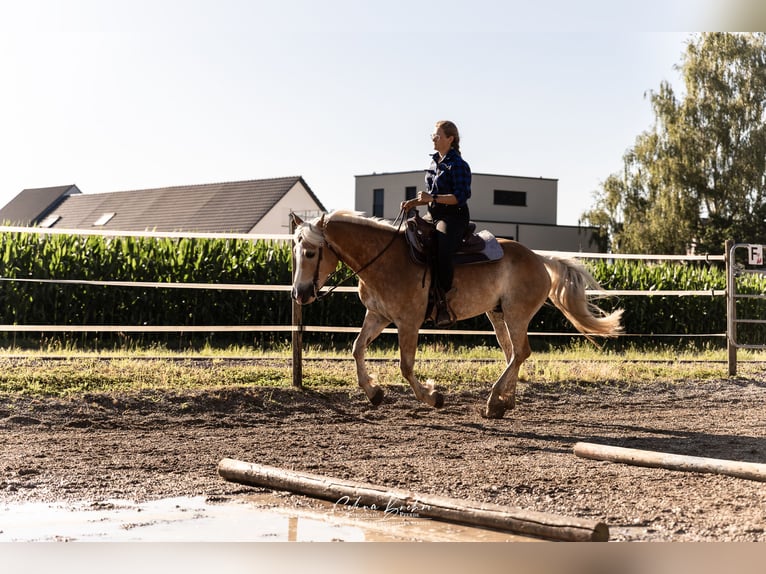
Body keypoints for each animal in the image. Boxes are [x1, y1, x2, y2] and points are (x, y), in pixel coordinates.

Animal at [291, 210, 622, 418]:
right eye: (294, 252)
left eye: (310, 252)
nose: (299, 294)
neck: (383, 259)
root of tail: (540, 258)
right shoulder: (377, 315)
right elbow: (357, 348)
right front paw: (374, 393)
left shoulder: (408, 322)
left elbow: (406, 367)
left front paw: (432, 396)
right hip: (498, 314)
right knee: (513, 353)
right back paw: (505, 402)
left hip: (516, 314)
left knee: (520, 352)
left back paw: (493, 401)